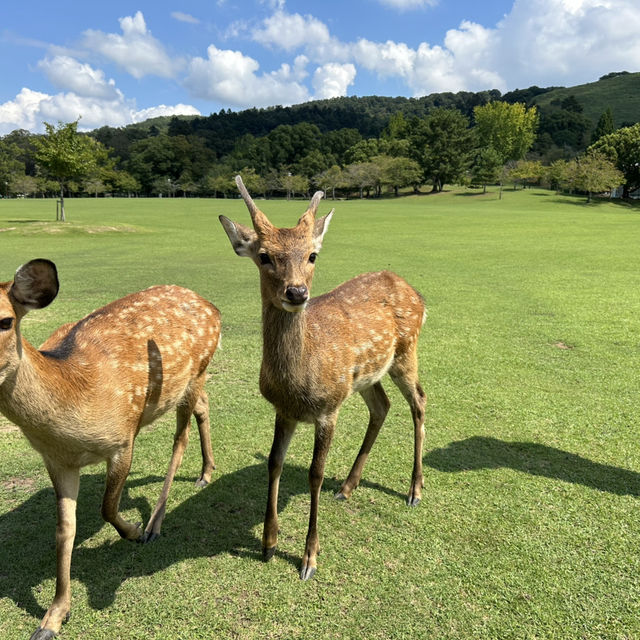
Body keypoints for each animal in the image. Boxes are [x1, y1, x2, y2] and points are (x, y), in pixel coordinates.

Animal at [0, 260, 222, 640]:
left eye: (5, 321)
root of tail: (212, 306)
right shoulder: (57, 461)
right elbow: (64, 530)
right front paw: (52, 618)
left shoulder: (123, 438)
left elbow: (106, 506)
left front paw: (133, 531)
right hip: (188, 383)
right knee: (203, 407)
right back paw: (206, 472)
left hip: (198, 369)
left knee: (180, 438)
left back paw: (155, 524)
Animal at [219, 176, 424, 580]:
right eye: (264, 255)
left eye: (312, 255)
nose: (297, 292)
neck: (296, 384)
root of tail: (416, 293)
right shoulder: (283, 410)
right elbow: (273, 461)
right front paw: (268, 543)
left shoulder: (328, 408)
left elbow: (314, 472)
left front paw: (309, 558)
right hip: (363, 377)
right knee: (382, 406)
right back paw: (346, 486)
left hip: (405, 352)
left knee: (420, 402)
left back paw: (414, 490)